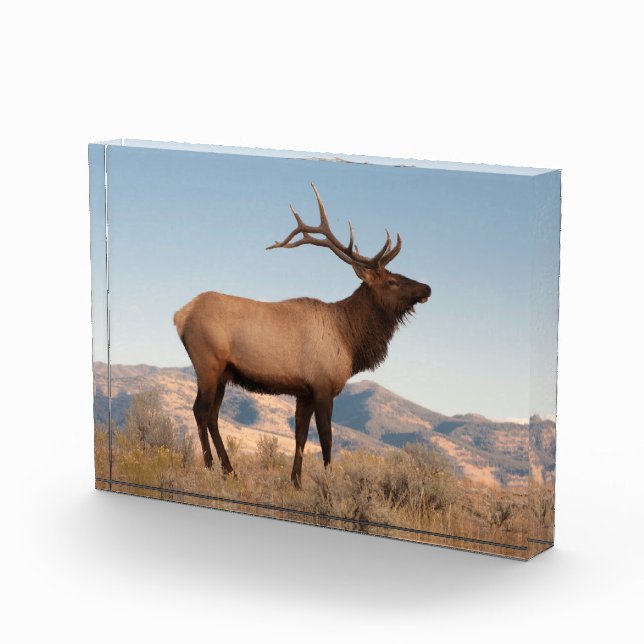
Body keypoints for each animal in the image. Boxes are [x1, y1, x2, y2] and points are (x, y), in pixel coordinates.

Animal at [174, 183, 431, 487]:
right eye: (392, 281)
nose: (427, 288)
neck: (350, 339)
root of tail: (181, 315)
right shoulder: (322, 386)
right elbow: (327, 439)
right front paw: (327, 484)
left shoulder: (304, 392)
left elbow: (300, 437)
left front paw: (296, 481)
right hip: (208, 364)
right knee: (200, 411)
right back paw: (211, 466)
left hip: (224, 373)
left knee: (213, 415)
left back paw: (229, 469)